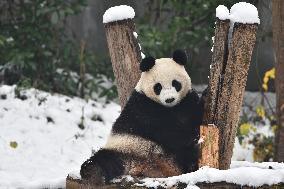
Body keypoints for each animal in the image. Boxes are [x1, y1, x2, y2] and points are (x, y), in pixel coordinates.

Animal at [80, 49, 204, 185]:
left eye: (175, 83)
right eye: (158, 87)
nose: (169, 99)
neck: (169, 108)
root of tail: (144, 166)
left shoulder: (186, 101)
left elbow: (193, 116)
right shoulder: (143, 107)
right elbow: (169, 132)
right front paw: (191, 136)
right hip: (124, 148)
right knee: (101, 160)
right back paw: (93, 174)